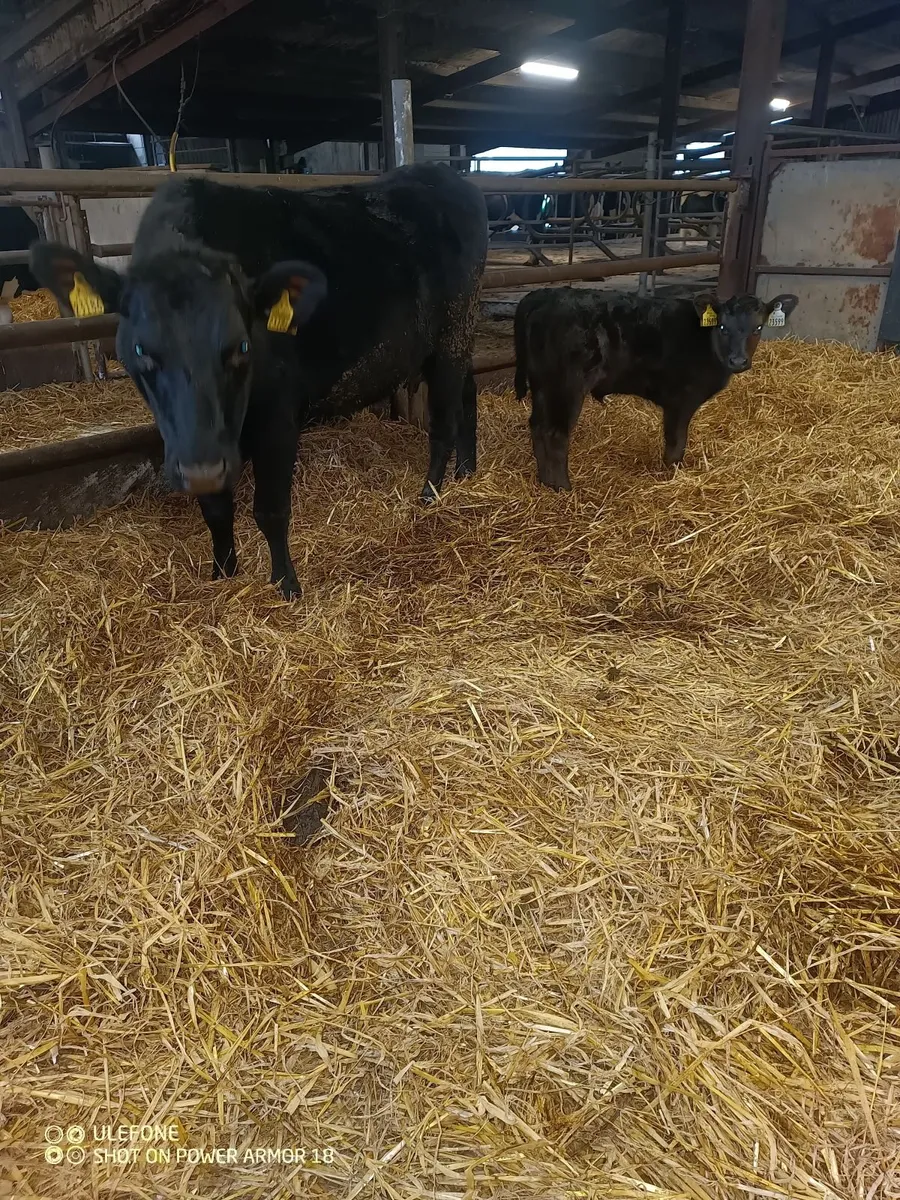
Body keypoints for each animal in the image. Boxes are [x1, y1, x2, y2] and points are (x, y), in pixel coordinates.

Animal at [31, 163, 488, 599]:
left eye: (242, 346)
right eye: (141, 350)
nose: (200, 468)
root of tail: (444, 174)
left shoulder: (278, 419)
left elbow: (270, 510)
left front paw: (286, 586)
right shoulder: (200, 445)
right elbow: (215, 511)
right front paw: (222, 576)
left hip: (452, 335)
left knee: (443, 423)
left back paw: (430, 495)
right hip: (451, 344)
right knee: (468, 395)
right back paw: (467, 472)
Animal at [513, 287, 799, 490]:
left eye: (758, 328)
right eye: (722, 327)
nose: (738, 361)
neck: (706, 342)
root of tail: (544, 295)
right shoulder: (681, 399)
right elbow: (676, 442)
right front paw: (673, 474)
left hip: (543, 385)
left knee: (538, 426)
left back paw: (545, 482)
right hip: (567, 385)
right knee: (556, 433)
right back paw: (563, 488)